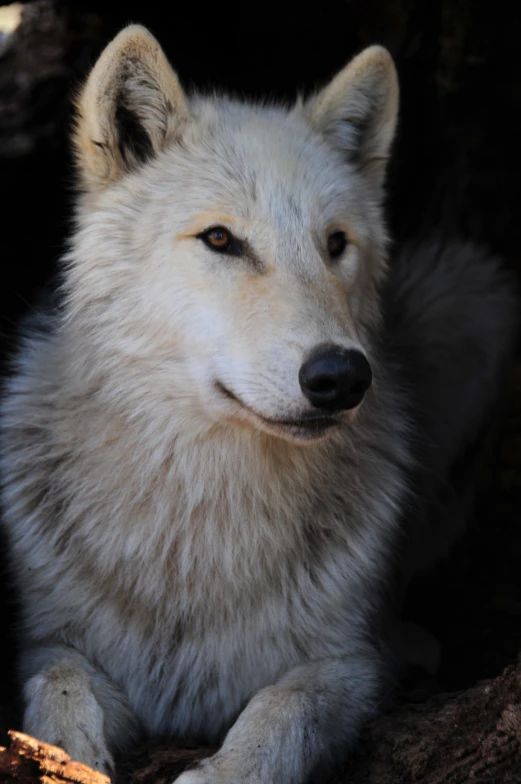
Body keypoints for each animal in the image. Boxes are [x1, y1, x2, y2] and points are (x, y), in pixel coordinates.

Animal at [0, 24, 516, 784]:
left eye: (335, 244)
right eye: (221, 239)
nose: (341, 376)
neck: (199, 518)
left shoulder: (349, 663)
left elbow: (284, 708)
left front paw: (220, 772)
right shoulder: (50, 640)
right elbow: (58, 685)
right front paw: (71, 761)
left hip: (473, 293)